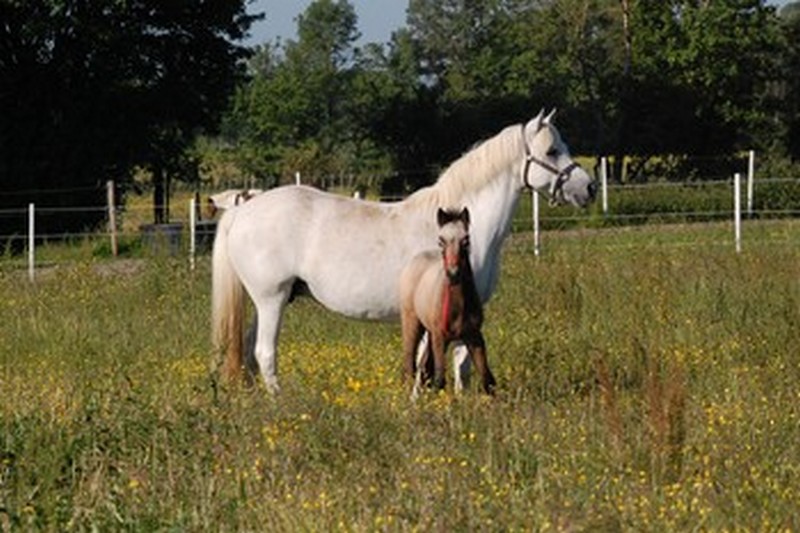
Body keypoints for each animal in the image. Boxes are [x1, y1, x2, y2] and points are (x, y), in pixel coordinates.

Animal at [211, 110, 592, 390]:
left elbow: (462, 366)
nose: (588, 187)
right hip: (271, 298)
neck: (459, 231)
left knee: (247, 354)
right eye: (551, 151)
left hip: (271, 301)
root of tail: (244, 208)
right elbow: (430, 365)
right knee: (264, 353)